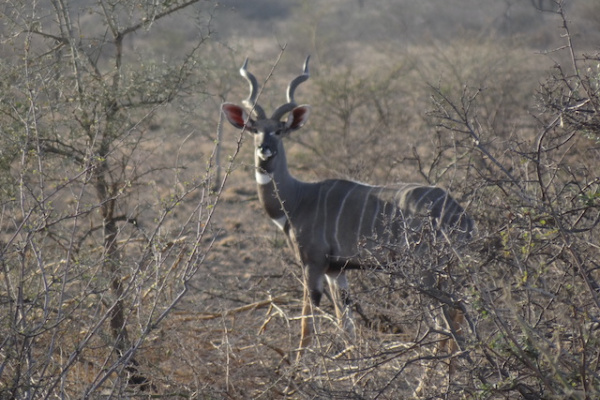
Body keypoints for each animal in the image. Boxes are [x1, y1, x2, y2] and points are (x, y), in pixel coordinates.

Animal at [220, 56, 474, 366]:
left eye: (279, 130)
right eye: (254, 129)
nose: (265, 149)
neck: (297, 199)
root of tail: (460, 215)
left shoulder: (312, 263)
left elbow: (307, 321)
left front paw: (302, 368)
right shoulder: (336, 270)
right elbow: (346, 323)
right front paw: (353, 365)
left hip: (426, 268)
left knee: (447, 316)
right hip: (446, 269)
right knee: (455, 312)